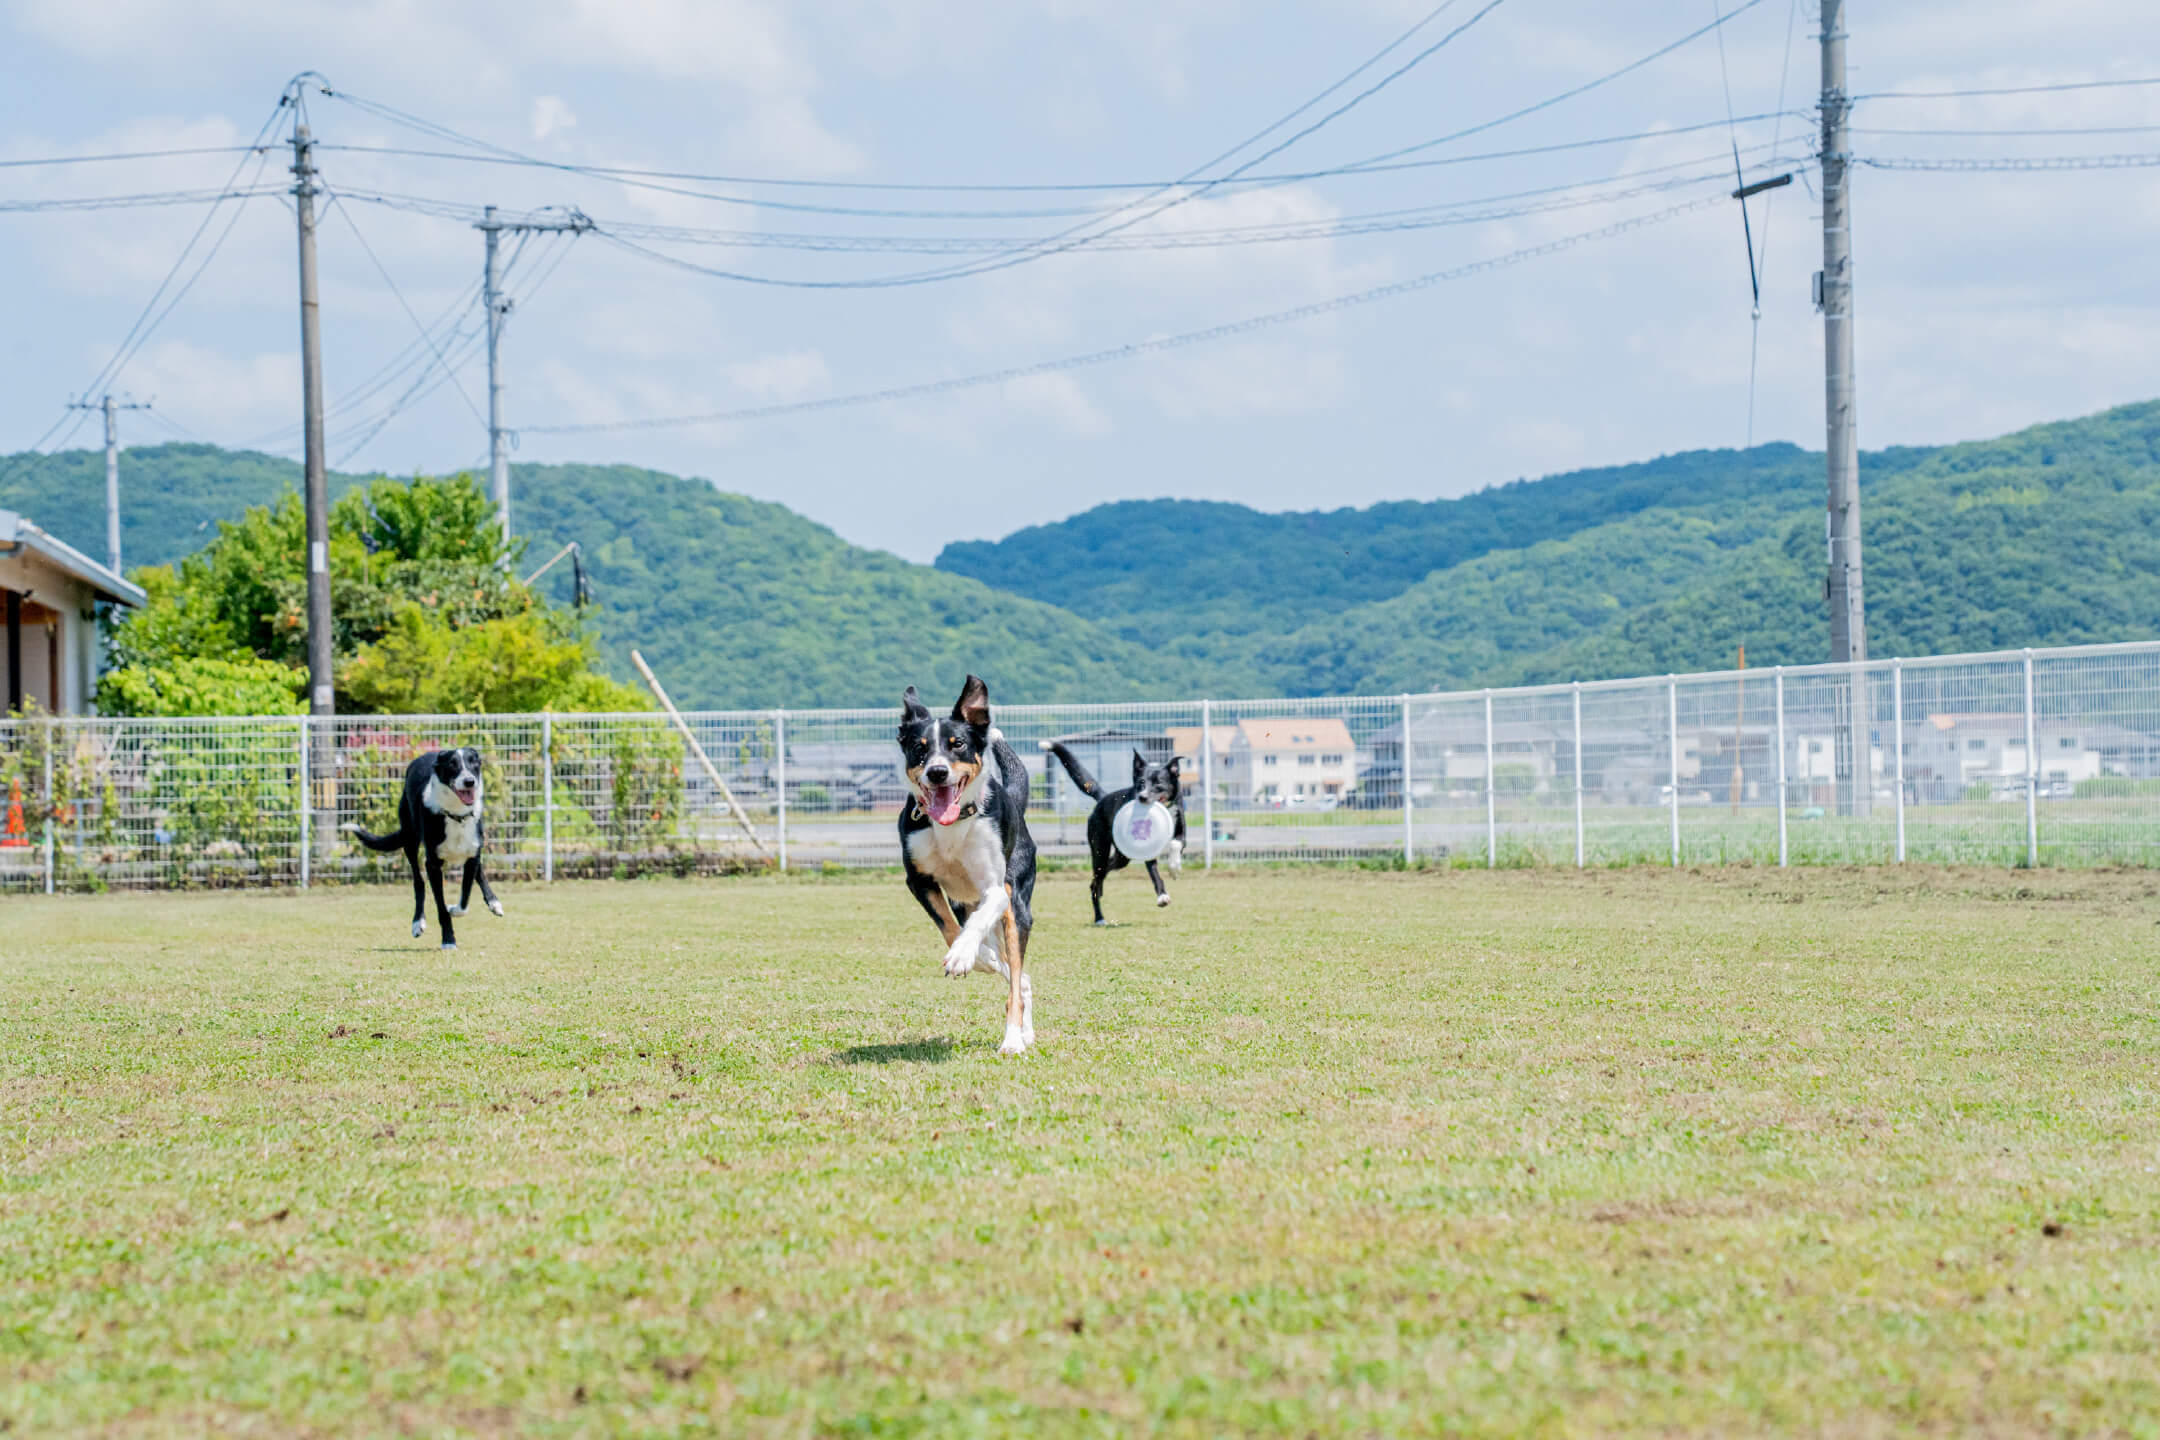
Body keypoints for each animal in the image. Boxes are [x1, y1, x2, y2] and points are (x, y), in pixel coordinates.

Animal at [341, 751, 501, 949]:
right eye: (452, 764)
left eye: (474, 763)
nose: (469, 781)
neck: (455, 815)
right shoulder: (432, 865)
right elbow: (441, 907)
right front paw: (448, 940)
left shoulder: (472, 855)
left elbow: (465, 897)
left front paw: (455, 909)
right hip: (410, 841)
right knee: (418, 883)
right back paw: (418, 923)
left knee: (477, 873)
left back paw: (494, 902)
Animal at [898, 677, 1041, 1057]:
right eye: (918, 748)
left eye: (957, 744)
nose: (937, 772)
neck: (952, 825)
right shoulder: (919, 881)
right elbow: (948, 927)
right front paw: (976, 957)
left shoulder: (996, 889)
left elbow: (974, 928)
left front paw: (963, 955)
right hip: (966, 901)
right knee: (1019, 976)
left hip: (1017, 905)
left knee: (1016, 976)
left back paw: (1014, 1039)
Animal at [1041, 742, 1192, 924]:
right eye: (1141, 782)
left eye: (1158, 783)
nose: (1142, 797)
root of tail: (1102, 798)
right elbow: (1154, 873)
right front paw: (1162, 896)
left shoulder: (1181, 831)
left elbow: (1176, 844)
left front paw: (1174, 868)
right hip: (1100, 849)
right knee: (1096, 880)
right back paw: (1099, 917)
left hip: (1121, 857)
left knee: (1105, 871)